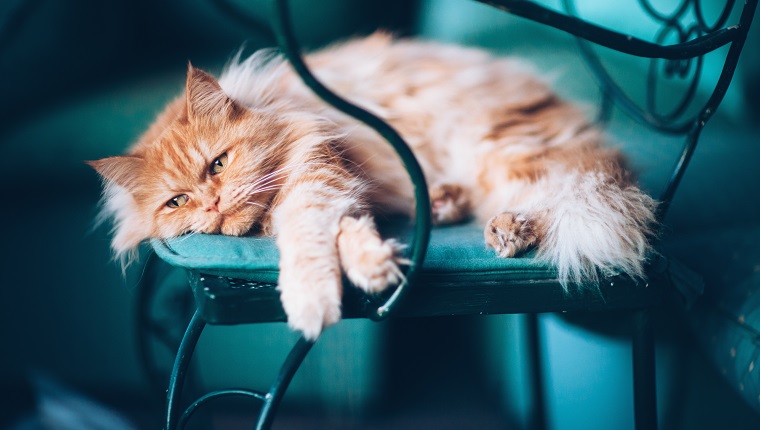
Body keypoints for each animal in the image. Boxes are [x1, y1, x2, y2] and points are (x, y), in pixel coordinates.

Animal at [89, 31, 656, 340]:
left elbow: (306, 242)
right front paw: (373, 264)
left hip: (499, 150)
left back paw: (510, 230)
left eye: (219, 164)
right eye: (177, 201)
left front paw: (312, 304)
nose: (211, 204)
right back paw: (447, 205)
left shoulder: (316, 173)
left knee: (568, 192)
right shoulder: (338, 190)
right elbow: (345, 232)